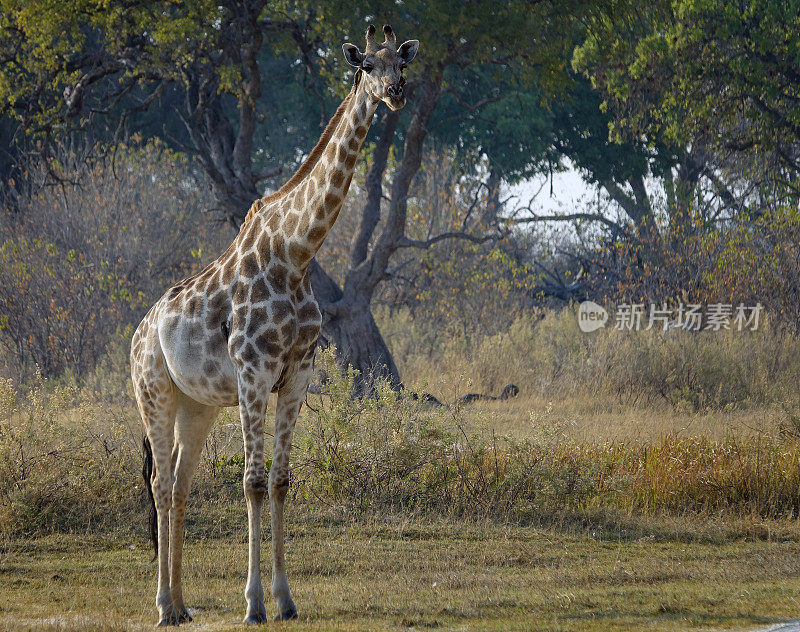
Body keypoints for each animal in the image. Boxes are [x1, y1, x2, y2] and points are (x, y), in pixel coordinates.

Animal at [131, 25, 418, 628]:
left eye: (400, 63)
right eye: (366, 66)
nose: (396, 92)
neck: (297, 253)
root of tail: (139, 334)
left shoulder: (297, 374)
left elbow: (282, 481)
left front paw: (286, 599)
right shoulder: (253, 374)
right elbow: (253, 483)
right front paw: (254, 603)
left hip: (195, 406)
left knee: (180, 484)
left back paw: (183, 604)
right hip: (153, 393)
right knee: (161, 483)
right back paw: (163, 606)